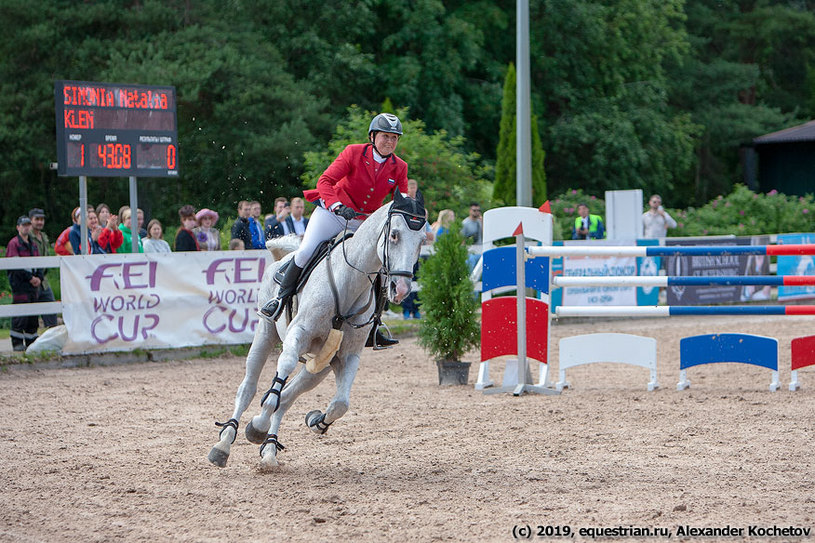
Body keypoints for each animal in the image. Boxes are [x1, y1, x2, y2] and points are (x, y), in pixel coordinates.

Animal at [209, 194, 428, 468]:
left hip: (320, 367)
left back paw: (269, 449)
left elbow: (340, 404)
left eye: (422, 241)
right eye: (395, 235)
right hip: (266, 334)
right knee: (249, 388)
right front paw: (258, 424)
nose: (402, 289)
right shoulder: (298, 334)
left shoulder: (348, 356)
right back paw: (225, 443)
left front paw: (315, 421)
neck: (348, 286)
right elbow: (280, 376)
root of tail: (280, 259)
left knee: (287, 397)